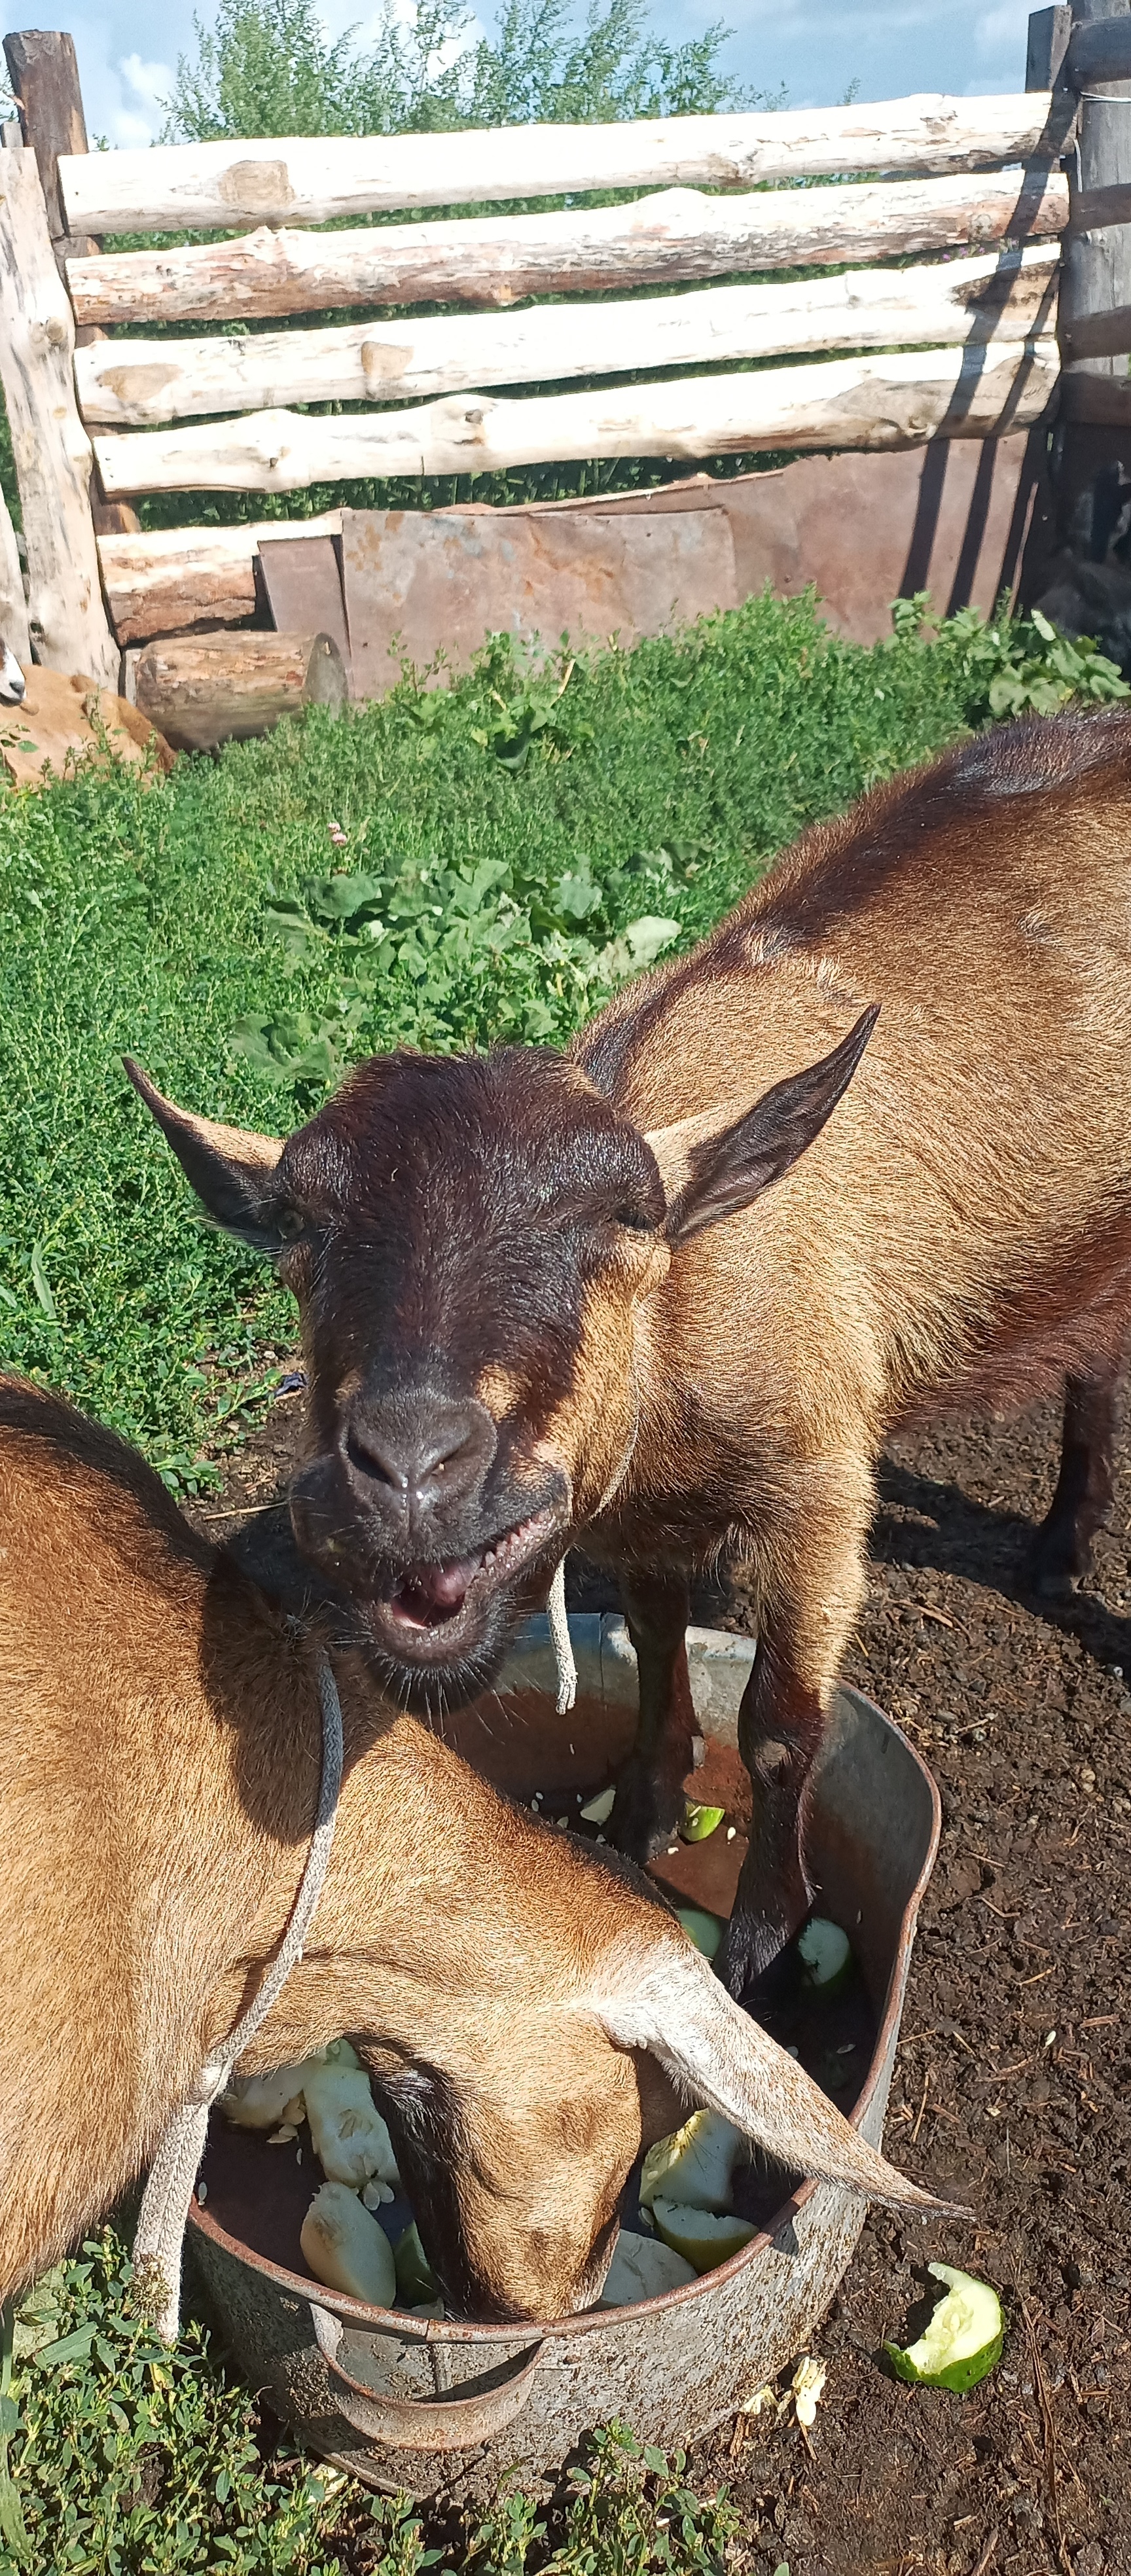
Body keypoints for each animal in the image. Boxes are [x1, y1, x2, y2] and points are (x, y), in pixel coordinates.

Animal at [126, 706, 1131, 1988]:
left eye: (624, 1220)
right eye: (297, 1230)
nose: (408, 1470)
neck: (680, 1330)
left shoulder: (820, 1479)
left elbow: (780, 1729)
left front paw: (759, 1941)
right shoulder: (636, 1517)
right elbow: (656, 1652)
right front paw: (641, 1816)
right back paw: (1057, 1548)